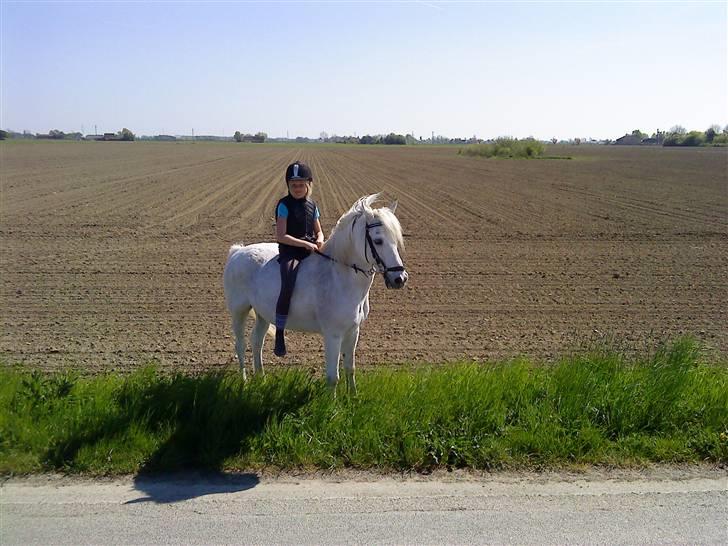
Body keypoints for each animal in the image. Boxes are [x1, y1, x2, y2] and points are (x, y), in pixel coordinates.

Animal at [222, 193, 406, 388]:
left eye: (395, 240)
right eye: (378, 241)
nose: (400, 279)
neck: (339, 276)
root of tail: (237, 251)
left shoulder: (353, 331)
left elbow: (350, 369)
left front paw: (353, 395)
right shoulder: (333, 335)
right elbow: (333, 377)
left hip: (263, 314)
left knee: (256, 342)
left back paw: (261, 379)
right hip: (239, 312)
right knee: (240, 345)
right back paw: (244, 382)